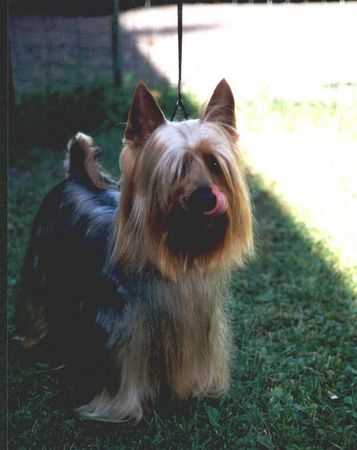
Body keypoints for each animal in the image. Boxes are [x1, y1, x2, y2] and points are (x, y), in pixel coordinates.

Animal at [14, 80, 253, 422]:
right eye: (177, 169)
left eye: (214, 164)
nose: (208, 198)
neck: (177, 252)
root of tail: (75, 176)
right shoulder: (125, 332)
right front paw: (120, 410)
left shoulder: (196, 322)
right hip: (40, 264)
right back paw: (33, 338)